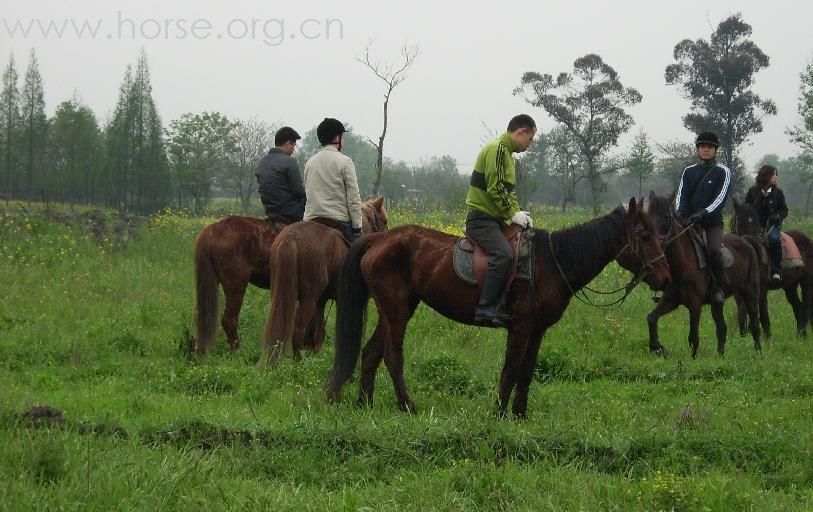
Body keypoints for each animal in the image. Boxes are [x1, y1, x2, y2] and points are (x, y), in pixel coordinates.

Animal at [260, 197, 386, 364]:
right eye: (385, 220)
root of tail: (290, 238)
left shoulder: (321, 301)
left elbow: (319, 331)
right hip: (308, 299)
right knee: (298, 328)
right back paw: (299, 361)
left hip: (281, 294)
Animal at [326, 198, 668, 418]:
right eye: (644, 234)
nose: (666, 277)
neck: (552, 262)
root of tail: (379, 239)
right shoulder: (520, 327)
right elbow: (511, 369)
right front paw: (500, 413)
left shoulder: (537, 330)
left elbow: (527, 371)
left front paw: (519, 414)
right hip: (396, 310)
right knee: (393, 357)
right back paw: (407, 406)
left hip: (396, 309)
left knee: (371, 352)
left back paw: (364, 403)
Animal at [640, 194, 760, 358]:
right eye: (648, 216)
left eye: (666, 217)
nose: (652, 242)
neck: (682, 263)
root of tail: (746, 241)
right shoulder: (670, 300)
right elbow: (651, 318)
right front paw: (657, 347)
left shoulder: (695, 304)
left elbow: (693, 337)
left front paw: (693, 360)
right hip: (718, 303)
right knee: (722, 328)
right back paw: (721, 356)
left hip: (749, 293)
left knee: (754, 322)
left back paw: (759, 353)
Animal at [728, 198, 812, 338]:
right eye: (740, 223)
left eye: (756, 223)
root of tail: (808, 240)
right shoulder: (738, 293)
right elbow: (742, 314)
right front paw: (743, 337)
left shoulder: (761, 289)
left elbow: (763, 316)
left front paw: (768, 340)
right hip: (790, 286)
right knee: (798, 308)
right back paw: (800, 336)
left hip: (806, 282)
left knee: (805, 308)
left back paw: (802, 336)